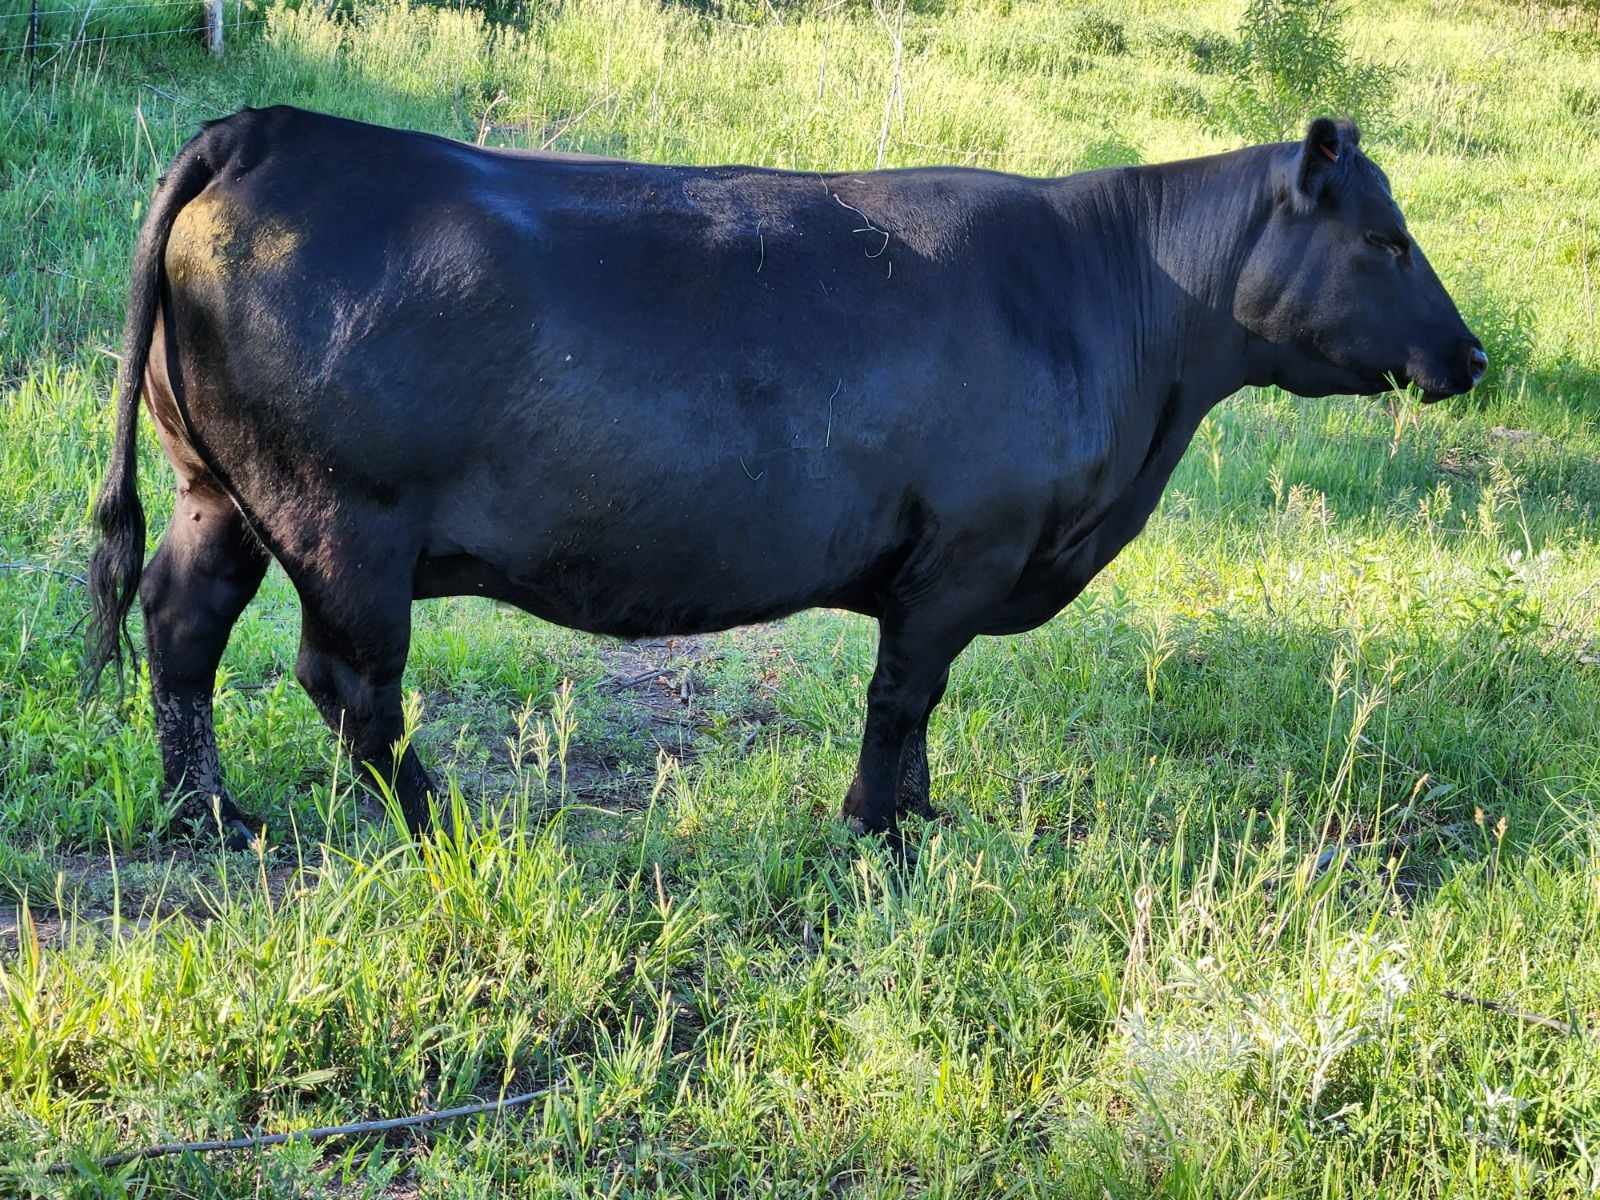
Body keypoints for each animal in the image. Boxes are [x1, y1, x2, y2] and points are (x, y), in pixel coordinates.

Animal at [85, 107, 1484, 849]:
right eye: (1385, 237)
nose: (1470, 355)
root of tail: (266, 131)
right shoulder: (964, 553)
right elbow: (901, 695)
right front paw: (877, 829)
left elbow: (915, 706)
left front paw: (920, 818)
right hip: (346, 522)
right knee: (350, 686)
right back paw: (449, 829)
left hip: (219, 491)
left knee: (183, 625)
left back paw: (208, 813)